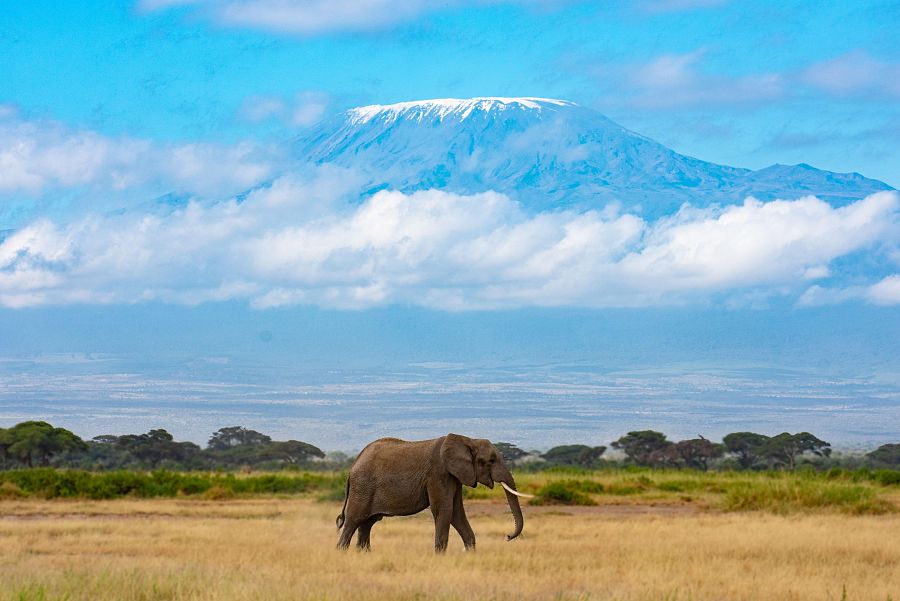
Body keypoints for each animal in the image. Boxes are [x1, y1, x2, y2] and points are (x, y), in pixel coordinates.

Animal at [335, 433, 531, 552]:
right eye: (490, 460)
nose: (507, 536)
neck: (467, 439)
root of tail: (352, 467)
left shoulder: (454, 477)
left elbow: (456, 512)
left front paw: (470, 553)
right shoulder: (439, 474)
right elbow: (444, 510)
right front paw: (440, 556)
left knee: (367, 524)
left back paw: (363, 554)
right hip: (363, 487)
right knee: (354, 521)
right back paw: (341, 553)